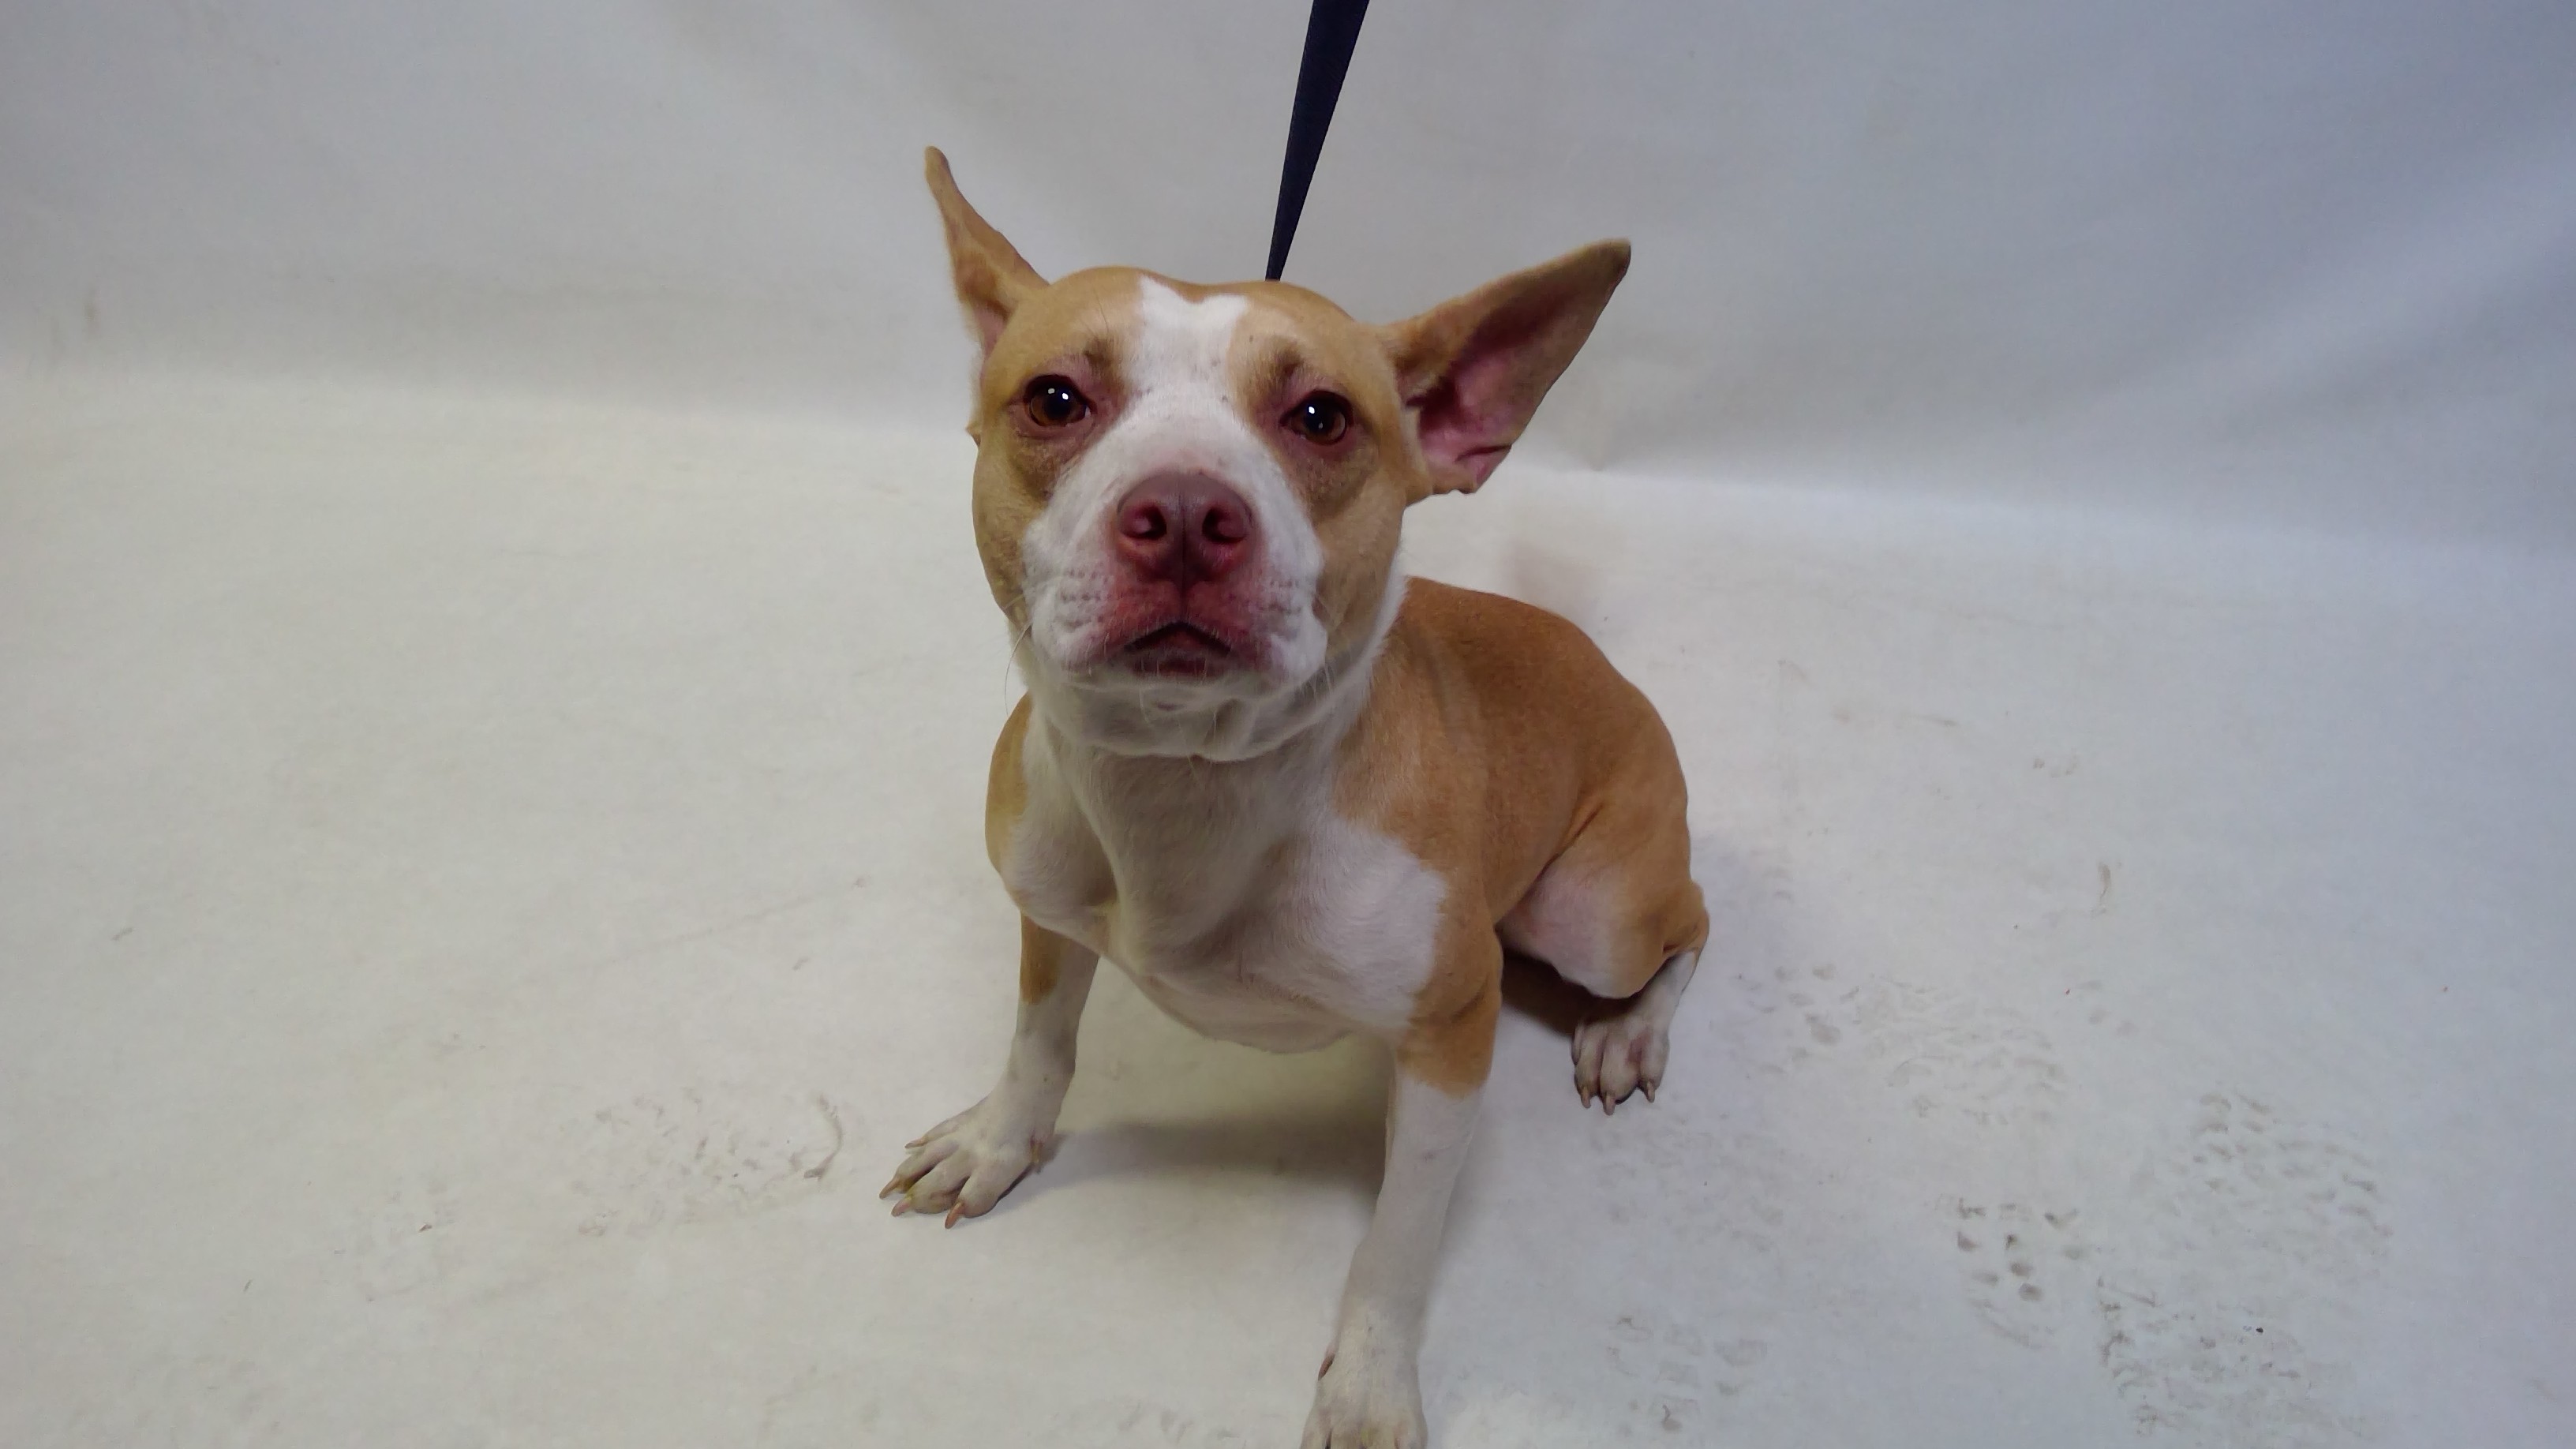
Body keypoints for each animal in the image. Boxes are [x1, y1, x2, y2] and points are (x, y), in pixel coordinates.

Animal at [884, 149, 1708, 1449]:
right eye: (1056, 399)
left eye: (1320, 415)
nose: (1182, 515)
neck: (1185, 785)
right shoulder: (1047, 915)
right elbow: (1040, 1044)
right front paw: (997, 1140)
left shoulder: (1450, 1040)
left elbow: (1398, 1247)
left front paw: (1368, 1380)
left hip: (1595, 913)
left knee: (1691, 924)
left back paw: (1631, 1028)